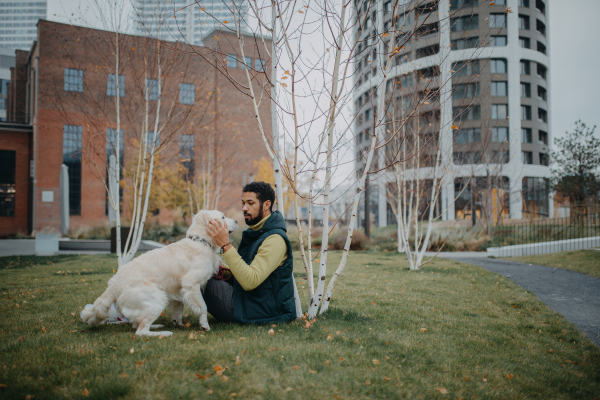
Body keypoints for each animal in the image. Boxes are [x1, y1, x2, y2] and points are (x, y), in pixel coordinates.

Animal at [79, 211, 237, 336]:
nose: (236, 220)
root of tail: (114, 283)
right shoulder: (191, 284)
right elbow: (203, 307)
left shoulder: (178, 289)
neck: (201, 241)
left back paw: (156, 326)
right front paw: (204, 325)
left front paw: (178, 322)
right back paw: (163, 333)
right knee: (140, 331)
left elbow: (178, 308)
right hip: (157, 299)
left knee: (136, 324)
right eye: (222, 217)